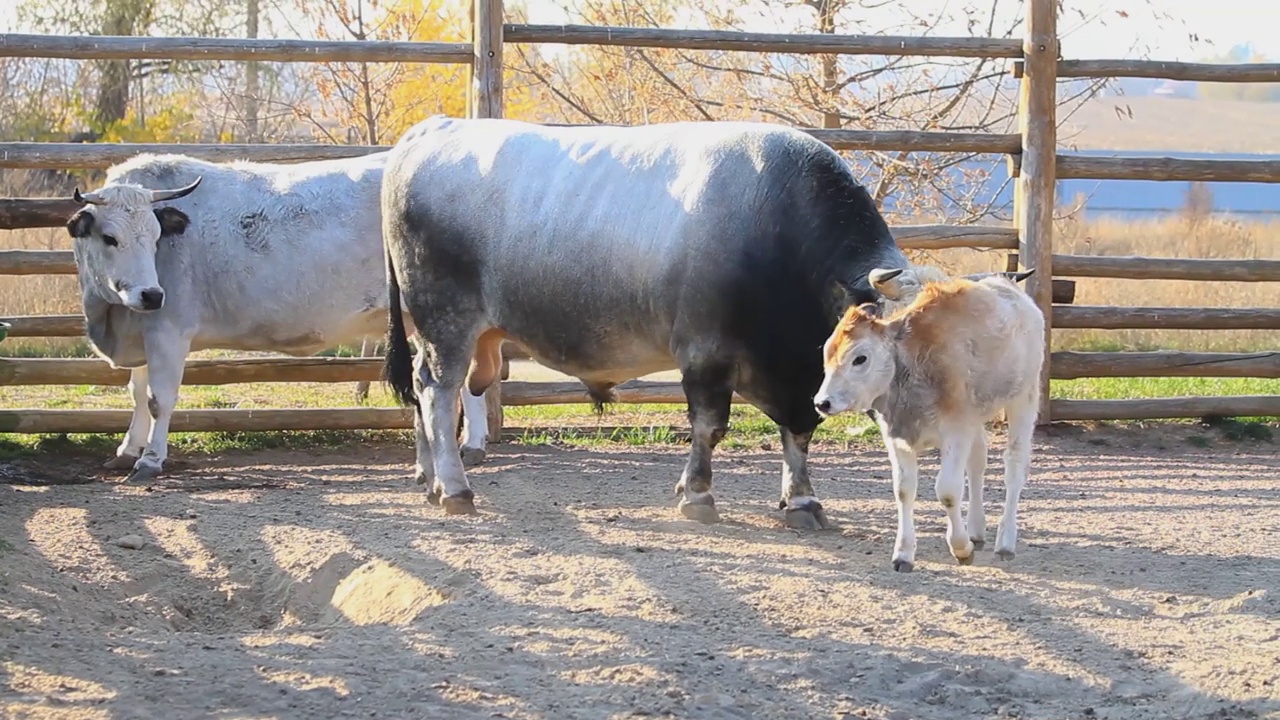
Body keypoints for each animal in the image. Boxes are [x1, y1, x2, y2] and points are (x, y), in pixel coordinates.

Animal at [67, 151, 491, 479]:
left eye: (157, 237)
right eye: (110, 238)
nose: (152, 294)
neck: (111, 315)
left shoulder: (167, 330)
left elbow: (159, 399)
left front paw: (151, 460)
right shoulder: (141, 329)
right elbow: (137, 393)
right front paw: (127, 450)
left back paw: (470, 444)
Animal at [378, 114, 911, 525]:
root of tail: (432, 129)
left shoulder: (798, 381)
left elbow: (797, 435)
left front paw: (801, 500)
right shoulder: (705, 353)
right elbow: (709, 427)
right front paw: (697, 495)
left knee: (422, 389)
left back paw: (430, 480)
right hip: (444, 320)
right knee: (439, 392)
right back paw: (454, 488)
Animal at [814, 266, 1044, 568]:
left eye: (860, 358)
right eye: (828, 352)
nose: (822, 402)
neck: (914, 364)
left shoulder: (956, 431)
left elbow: (947, 490)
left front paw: (961, 547)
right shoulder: (896, 437)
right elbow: (904, 489)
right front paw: (904, 553)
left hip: (1023, 398)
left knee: (1014, 464)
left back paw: (1005, 542)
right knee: (978, 462)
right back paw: (976, 530)